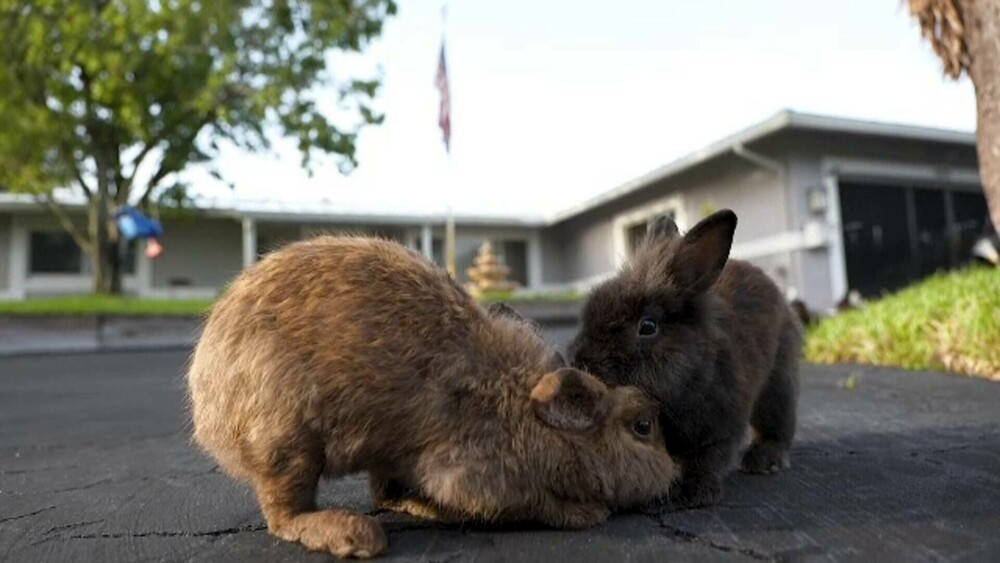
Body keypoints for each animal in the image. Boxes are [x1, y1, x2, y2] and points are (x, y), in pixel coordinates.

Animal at [186, 236, 680, 556]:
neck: (526, 412)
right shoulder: (476, 475)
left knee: (382, 491)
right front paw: (586, 514)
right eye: (643, 425)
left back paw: (420, 509)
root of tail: (206, 408)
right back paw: (354, 535)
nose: (674, 473)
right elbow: (532, 503)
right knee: (284, 514)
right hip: (288, 440)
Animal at [568, 212, 800, 512]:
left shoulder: (719, 431)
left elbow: (705, 461)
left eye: (647, 326)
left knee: (778, 422)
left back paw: (764, 460)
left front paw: (688, 494)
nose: (581, 361)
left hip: (777, 381)